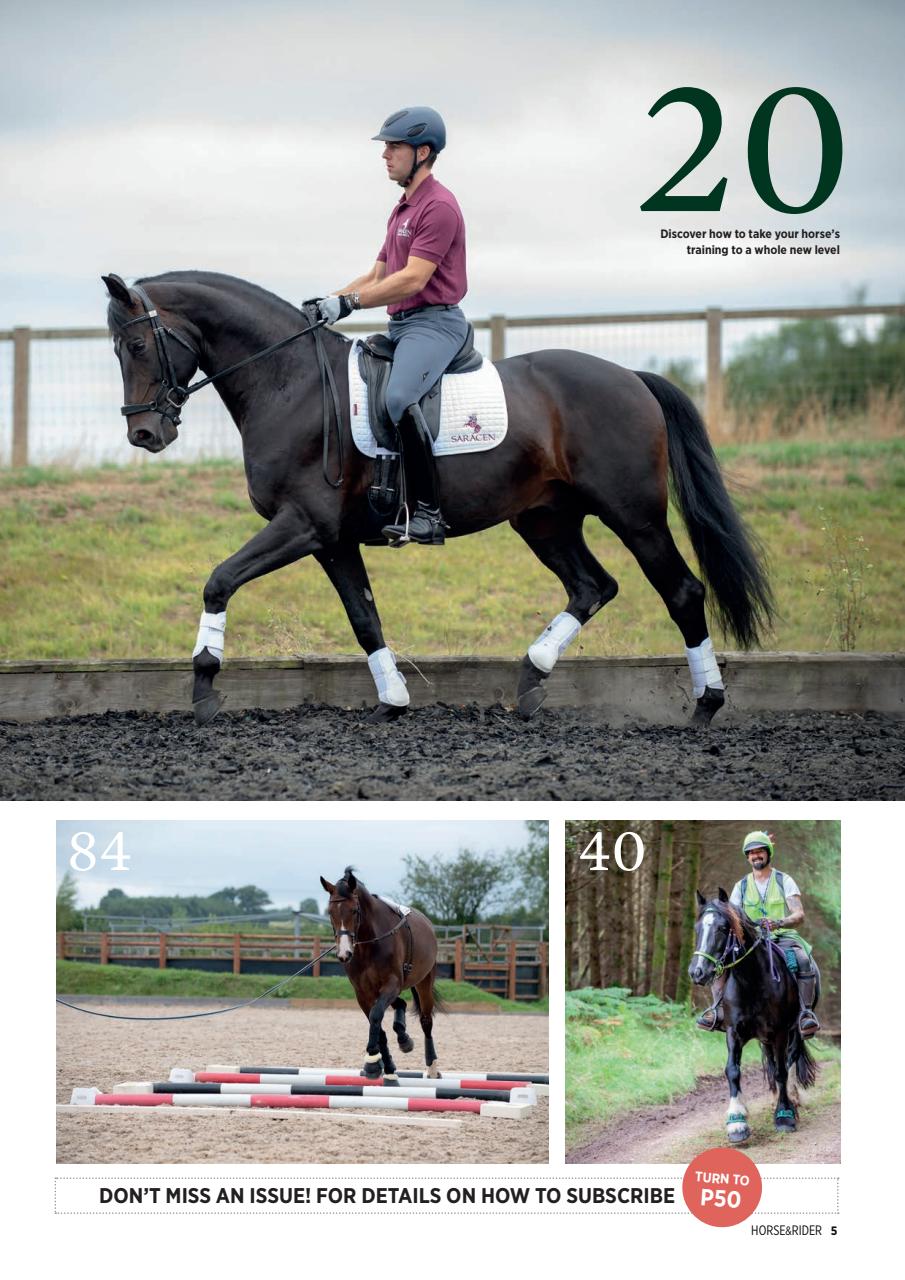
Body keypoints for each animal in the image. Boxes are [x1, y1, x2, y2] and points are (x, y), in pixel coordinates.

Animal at [102, 270, 774, 726]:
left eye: (136, 347)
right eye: (116, 350)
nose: (145, 435)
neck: (290, 384)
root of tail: (632, 378)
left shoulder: (302, 525)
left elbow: (219, 580)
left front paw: (204, 688)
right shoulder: (331, 539)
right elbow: (364, 616)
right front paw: (393, 700)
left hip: (634, 516)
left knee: (681, 592)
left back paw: (706, 705)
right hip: (545, 520)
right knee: (592, 586)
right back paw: (531, 678)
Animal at [319, 867, 443, 1081]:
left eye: (354, 910)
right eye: (330, 912)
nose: (344, 954)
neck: (369, 944)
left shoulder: (391, 984)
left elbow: (376, 1016)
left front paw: (371, 1061)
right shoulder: (363, 993)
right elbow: (376, 1025)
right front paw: (383, 1065)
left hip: (423, 982)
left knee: (426, 1021)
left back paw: (431, 1067)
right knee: (400, 1005)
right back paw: (403, 1039)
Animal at [689, 889, 818, 1144]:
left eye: (722, 928)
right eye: (698, 928)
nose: (697, 972)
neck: (751, 981)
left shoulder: (780, 1032)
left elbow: (781, 1072)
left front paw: (784, 1115)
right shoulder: (733, 1032)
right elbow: (732, 1070)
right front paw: (736, 1123)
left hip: (794, 1031)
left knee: (788, 1061)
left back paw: (791, 1100)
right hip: (765, 1038)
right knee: (772, 1062)